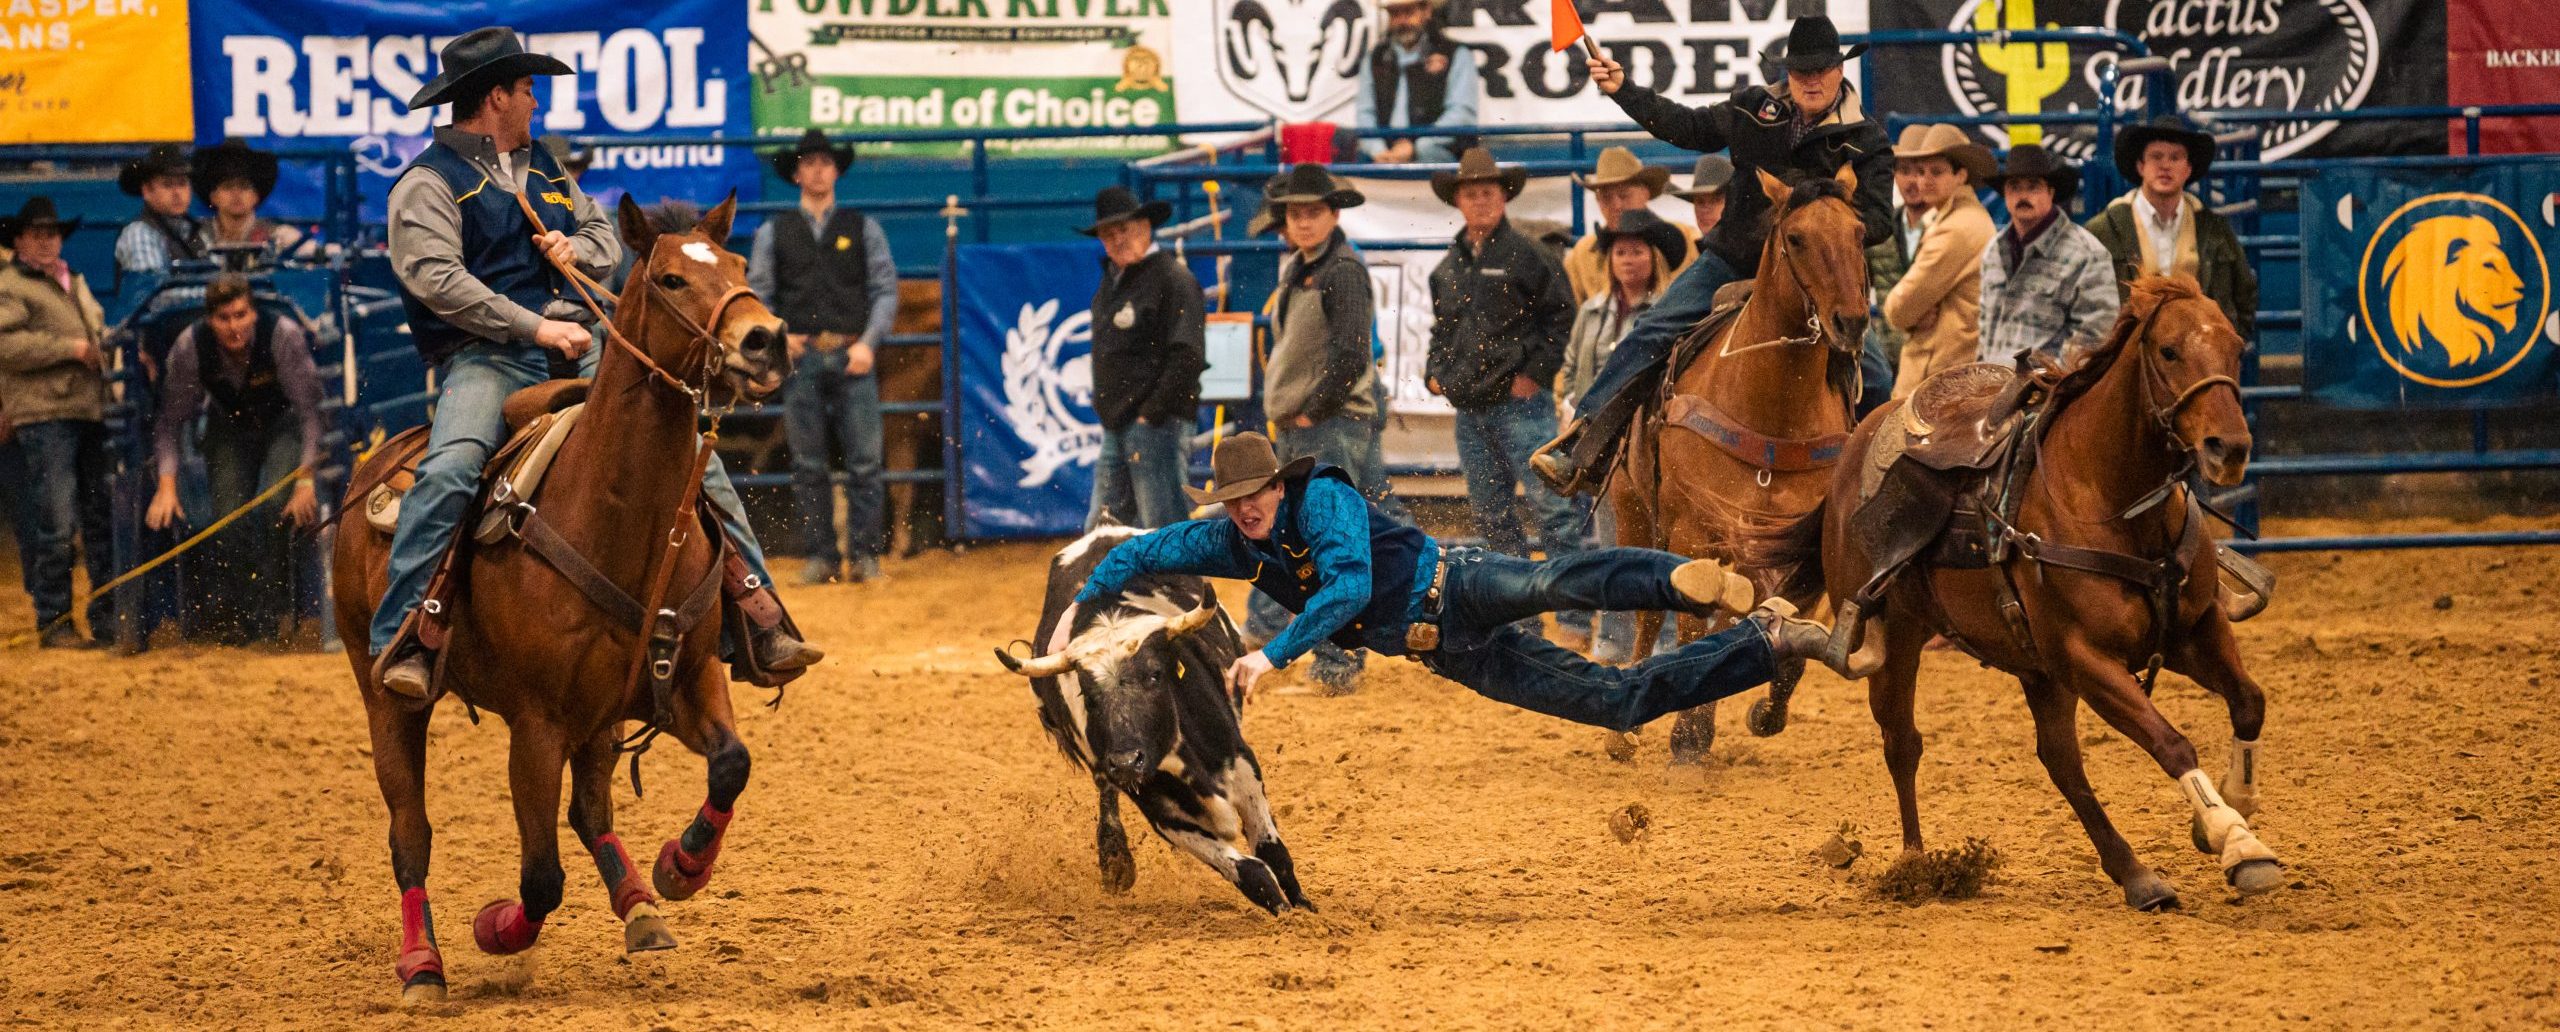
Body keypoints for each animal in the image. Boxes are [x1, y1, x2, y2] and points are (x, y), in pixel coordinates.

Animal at [331, 195, 790, 1003]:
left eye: (738, 265)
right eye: (671, 279)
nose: (764, 340)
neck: (619, 515)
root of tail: (374, 463)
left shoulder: (687, 677)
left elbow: (732, 765)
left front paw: (680, 868)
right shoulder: (537, 722)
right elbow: (540, 877)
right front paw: (496, 930)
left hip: (600, 716)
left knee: (590, 807)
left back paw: (641, 907)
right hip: (381, 689)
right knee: (410, 832)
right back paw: (423, 965)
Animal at [993, 523, 1313, 914]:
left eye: (1155, 675)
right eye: (1088, 695)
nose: (1126, 761)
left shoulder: (1240, 763)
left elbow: (1273, 852)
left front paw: (1304, 913)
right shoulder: (1160, 810)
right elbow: (1252, 871)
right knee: (1105, 791)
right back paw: (1114, 860)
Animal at [1604, 165, 1871, 765]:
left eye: (1861, 233)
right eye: (1796, 238)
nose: (1851, 321)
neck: (1772, 409)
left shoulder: (1800, 547)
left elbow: (1782, 632)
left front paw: (1760, 714)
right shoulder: (1692, 535)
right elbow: (1687, 627)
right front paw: (1685, 737)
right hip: (1633, 510)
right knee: (1649, 615)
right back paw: (1623, 735)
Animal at [1757, 274, 2282, 910]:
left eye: (2234, 346)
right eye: (2169, 351)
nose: (2229, 448)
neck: (2107, 501)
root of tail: (1852, 453)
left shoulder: (2194, 630)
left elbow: (2249, 701)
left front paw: (2234, 810)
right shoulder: (2085, 657)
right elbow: (2172, 742)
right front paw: (2235, 839)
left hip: (2038, 671)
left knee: (2060, 760)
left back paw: (2133, 873)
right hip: (1902, 638)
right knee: (1903, 743)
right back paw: (1915, 864)